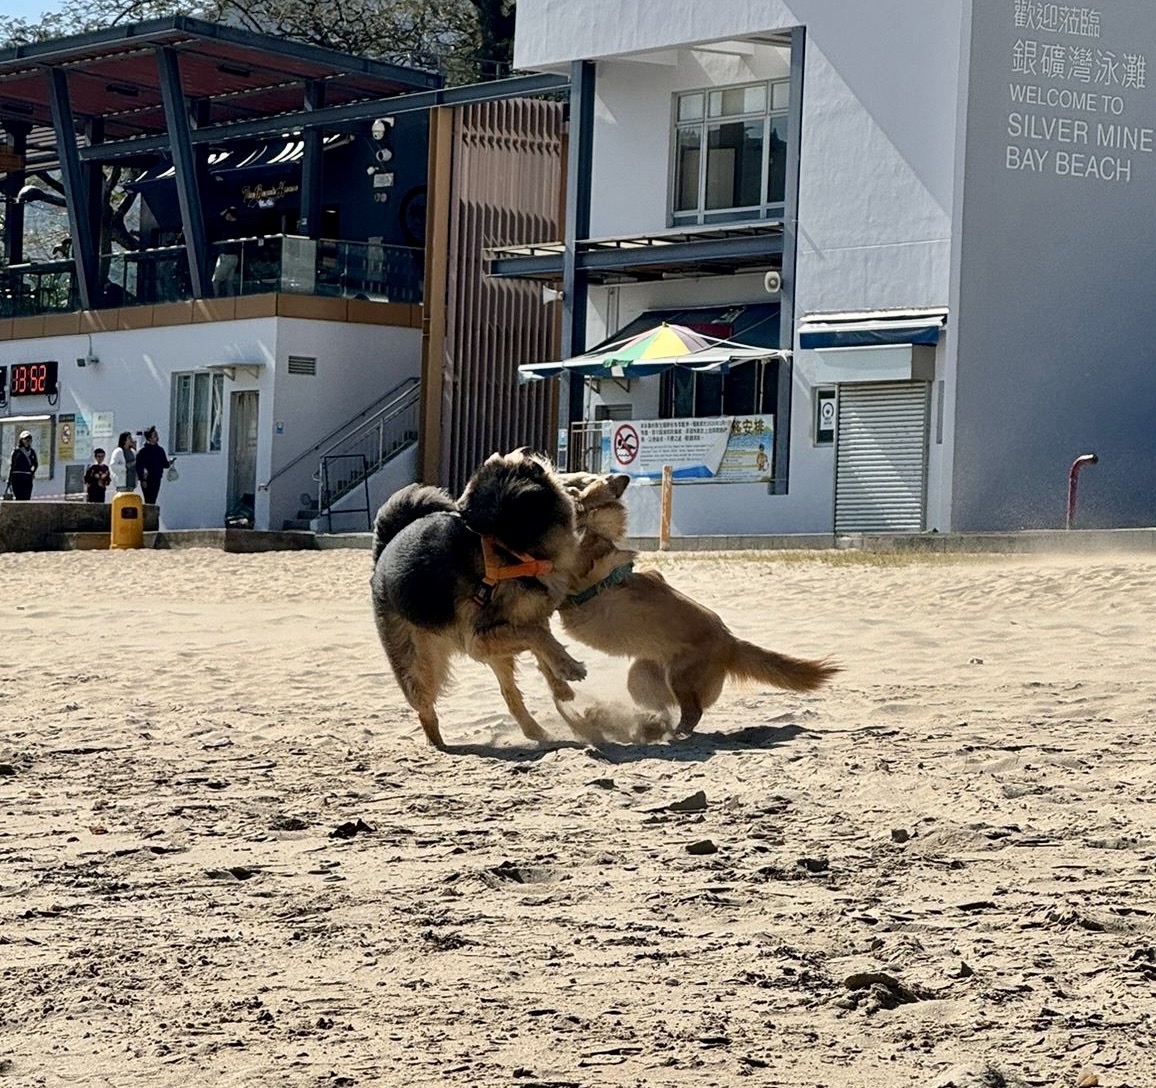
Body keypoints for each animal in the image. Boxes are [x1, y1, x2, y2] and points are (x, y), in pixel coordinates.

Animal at [370, 449, 586, 747]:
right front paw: (570, 668)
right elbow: (538, 638)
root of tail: (382, 553)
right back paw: (438, 745)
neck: (508, 547)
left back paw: (537, 732)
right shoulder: (479, 638)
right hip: (418, 664)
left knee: (510, 695)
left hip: (494, 654)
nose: (528, 452)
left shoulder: (529, 618)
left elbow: (545, 647)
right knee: (425, 707)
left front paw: (561, 684)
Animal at [556, 471, 839, 737]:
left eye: (582, 478)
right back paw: (643, 723)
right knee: (662, 709)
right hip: (640, 676)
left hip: (680, 678)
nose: (622, 476)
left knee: (692, 712)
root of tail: (731, 641)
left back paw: (673, 732)